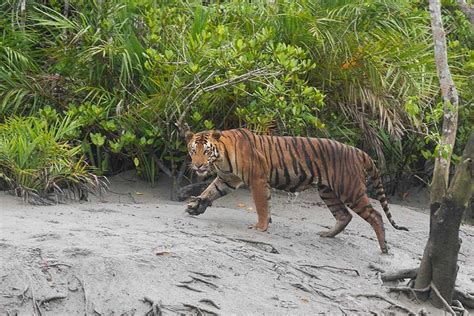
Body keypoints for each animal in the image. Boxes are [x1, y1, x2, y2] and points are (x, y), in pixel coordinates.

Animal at [184, 127, 408, 253]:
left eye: (206, 151)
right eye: (193, 151)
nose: (198, 166)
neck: (221, 158)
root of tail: (358, 151)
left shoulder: (257, 180)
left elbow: (261, 205)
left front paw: (260, 227)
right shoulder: (227, 179)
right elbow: (209, 191)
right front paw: (195, 207)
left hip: (350, 189)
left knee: (375, 215)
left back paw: (384, 248)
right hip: (328, 191)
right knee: (344, 215)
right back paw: (327, 234)